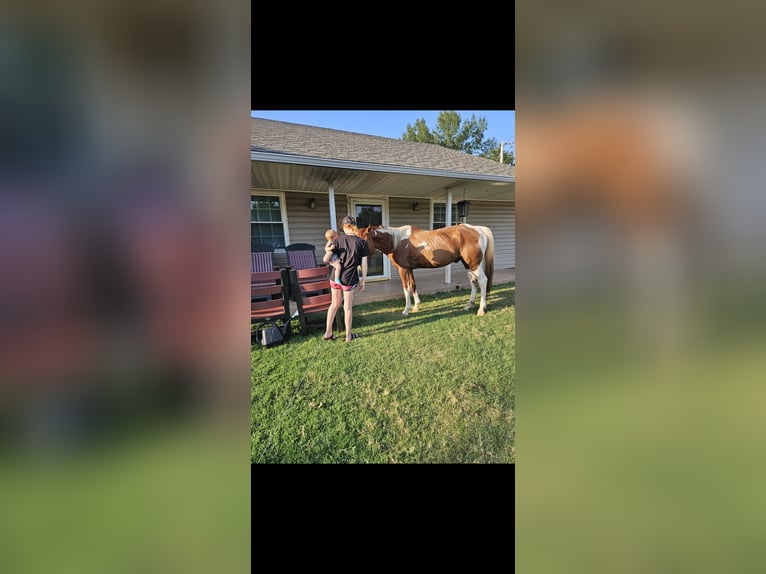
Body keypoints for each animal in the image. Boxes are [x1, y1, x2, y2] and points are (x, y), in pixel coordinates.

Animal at [356, 223, 495, 316]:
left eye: (363, 242)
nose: (358, 266)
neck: (397, 242)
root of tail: (478, 229)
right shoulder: (409, 269)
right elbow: (413, 286)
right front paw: (416, 307)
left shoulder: (403, 269)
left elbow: (406, 289)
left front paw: (406, 310)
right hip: (467, 265)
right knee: (474, 283)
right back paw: (469, 305)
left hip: (474, 265)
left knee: (483, 281)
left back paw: (481, 309)